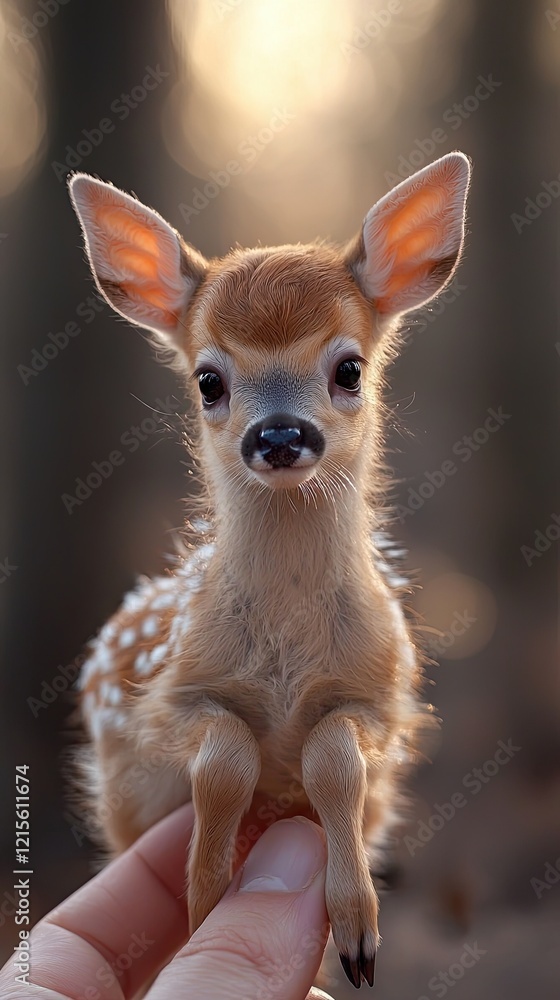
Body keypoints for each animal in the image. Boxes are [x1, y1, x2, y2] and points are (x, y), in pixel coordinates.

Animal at [68, 151, 470, 990]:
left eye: (349, 368)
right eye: (208, 380)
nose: (280, 436)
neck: (286, 656)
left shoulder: (380, 698)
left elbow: (334, 761)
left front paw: (356, 934)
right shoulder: (163, 702)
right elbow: (226, 761)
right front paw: (208, 899)